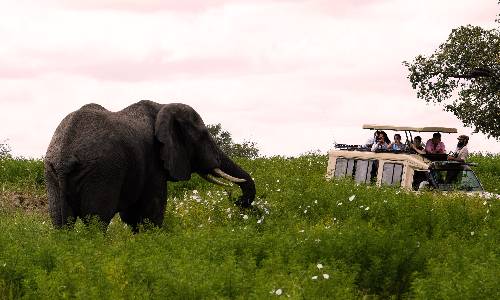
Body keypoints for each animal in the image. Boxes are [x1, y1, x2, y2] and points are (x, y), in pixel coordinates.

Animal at [44, 101, 256, 230]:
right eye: (203, 136)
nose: (237, 201)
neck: (162, 107)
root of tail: (64, 157)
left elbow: (132, 218)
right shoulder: (153, 163)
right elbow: (150, 216)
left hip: (52, 174)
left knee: (61, 224)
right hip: (101, 173)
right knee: (96, 223)